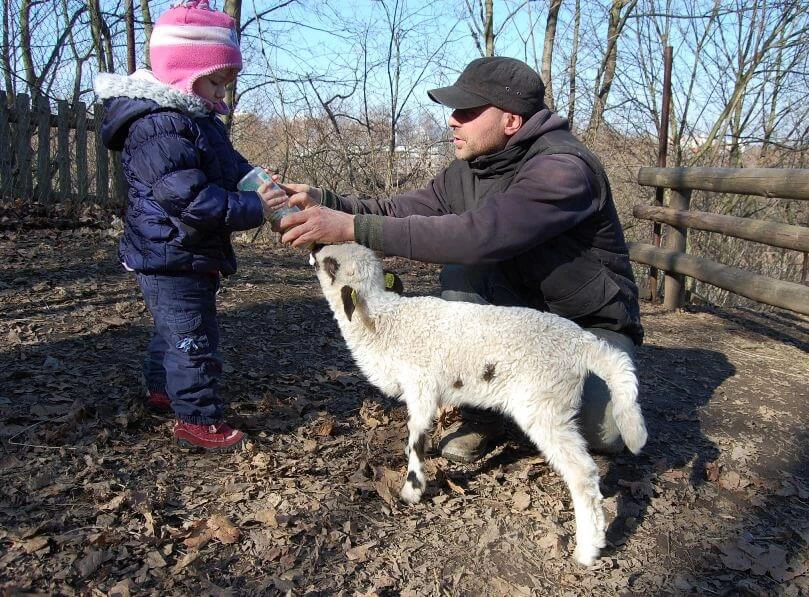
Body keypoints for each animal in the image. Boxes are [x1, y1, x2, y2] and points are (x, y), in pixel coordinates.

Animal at [306, 241, 648, 564]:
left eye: (332, 265)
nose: (314, 247)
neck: (384, 322)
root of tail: (583, 344)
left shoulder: (420, 386)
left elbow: (415, 438)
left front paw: (412, 490)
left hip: (546, 405)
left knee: (583, 473)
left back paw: (588, 549)